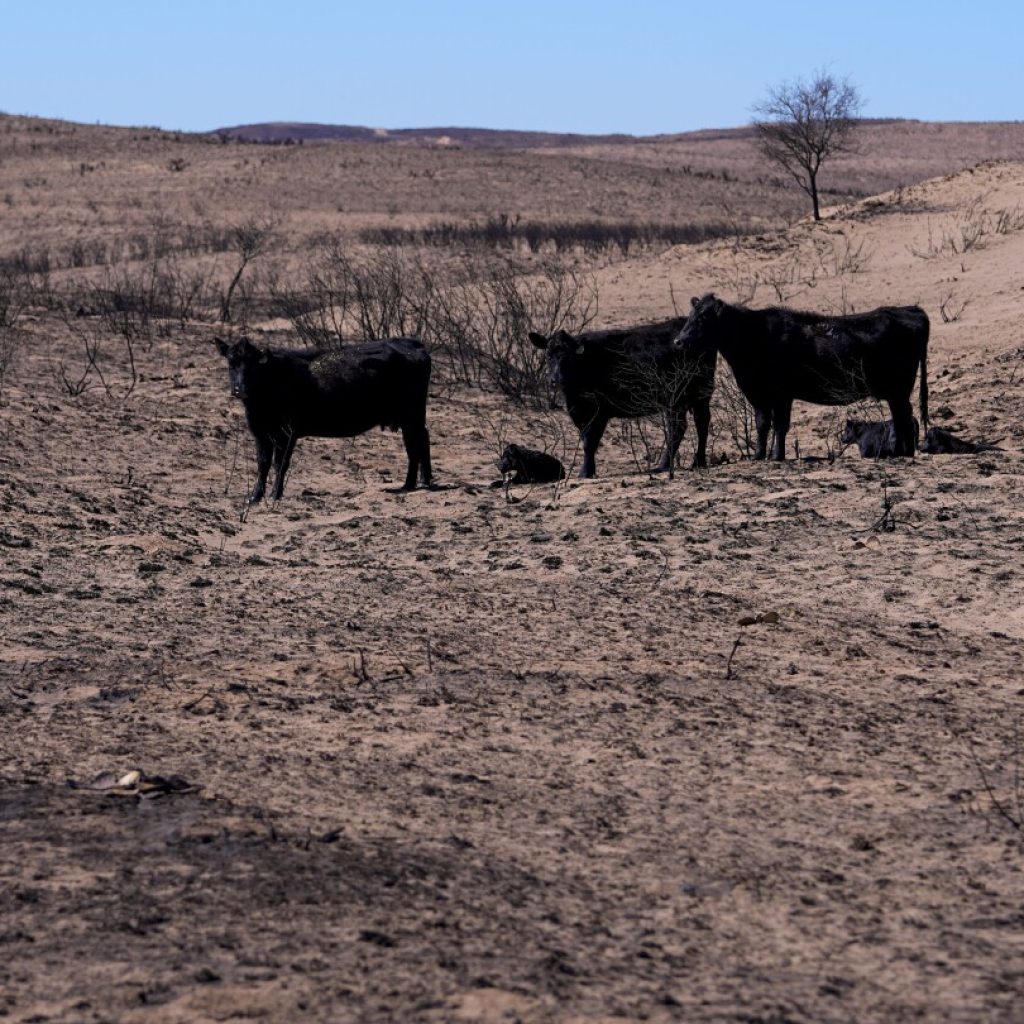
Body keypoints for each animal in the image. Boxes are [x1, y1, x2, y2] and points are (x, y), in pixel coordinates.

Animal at [216, 333, 432, 501]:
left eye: (253, 366)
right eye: (231, 364)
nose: (240, 389)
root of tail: (413, 343)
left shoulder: (288, 433)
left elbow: (280, 463)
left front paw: (275, 494)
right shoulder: (260, 432)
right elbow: (262, 463)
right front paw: (254, 496)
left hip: (412, 415)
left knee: (418, 442)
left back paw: (415, 483)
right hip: (409, 418)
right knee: (418, 441)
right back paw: (417, 482)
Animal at [532, 317, 716, 477]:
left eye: (569, 357)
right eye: (548, 355)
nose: (556, 379)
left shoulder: (600, 412)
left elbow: (590, 442)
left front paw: (586, 472)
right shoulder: (578, 412)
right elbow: (585, 439)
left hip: (686, 396)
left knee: (682, 428)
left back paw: (666, 465)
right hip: (694, 397)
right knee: (697, 424)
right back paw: (697, 462)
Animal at [671, 294, 929, 458]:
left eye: (703, 318)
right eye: (690, 315)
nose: (678, 341)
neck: (754, 335)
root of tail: (909, 309)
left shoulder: (781, 394)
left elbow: (779, 424)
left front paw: (777, 456)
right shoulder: (757, 392)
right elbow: (762, 423)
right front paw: (758, 455)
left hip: (898, 388)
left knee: (903, 415)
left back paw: (899, 452)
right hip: (896, 391)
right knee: (903, 415)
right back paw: (902, 451)